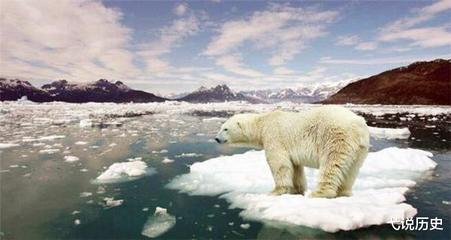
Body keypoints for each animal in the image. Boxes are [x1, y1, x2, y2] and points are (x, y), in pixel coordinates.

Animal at [216, 106, 370, 198]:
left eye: (225, 129)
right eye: (221, 127)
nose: (216, 138)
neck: (262, 123)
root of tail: (359, 125)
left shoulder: (274, 136)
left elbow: (279, 163)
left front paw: (276, 191)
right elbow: (295, 167)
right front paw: (297, 190)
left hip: (336, 136)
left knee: (331, 163)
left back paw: (319, 192)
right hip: (360, 149)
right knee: (351, 170)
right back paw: (344, 192)